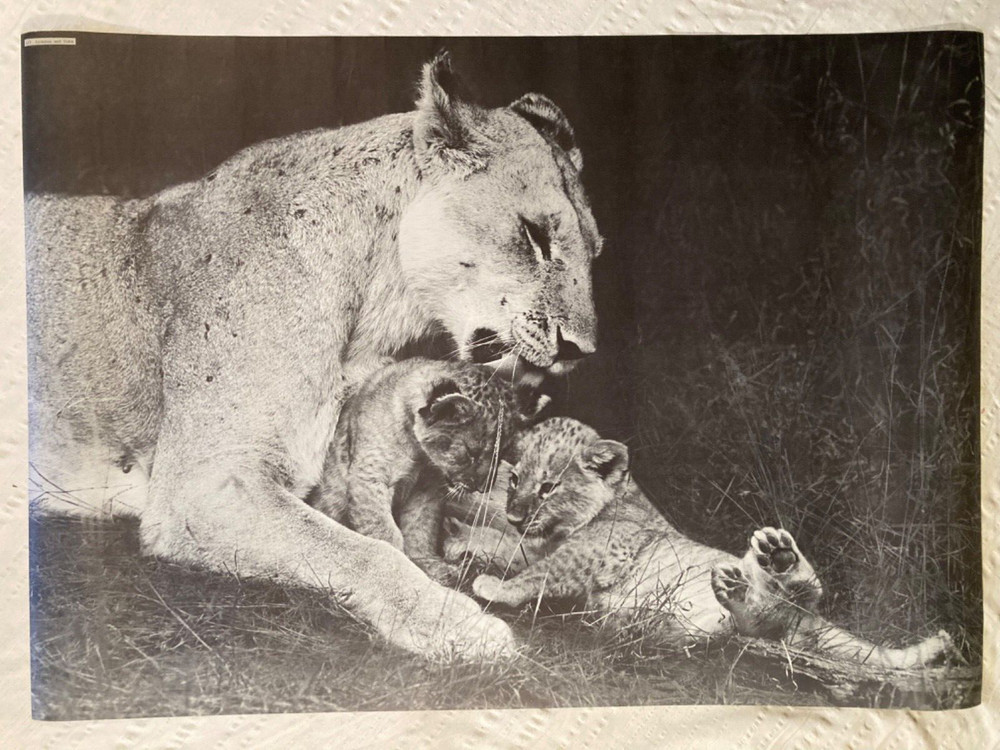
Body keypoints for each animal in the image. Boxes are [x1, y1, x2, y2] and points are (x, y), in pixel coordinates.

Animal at [25, 52, 602, 658]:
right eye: (534, 236)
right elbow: (362, 551)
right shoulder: (201, 487)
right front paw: (458, 625)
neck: (374, 306)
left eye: (596, 251)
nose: (581, 349)